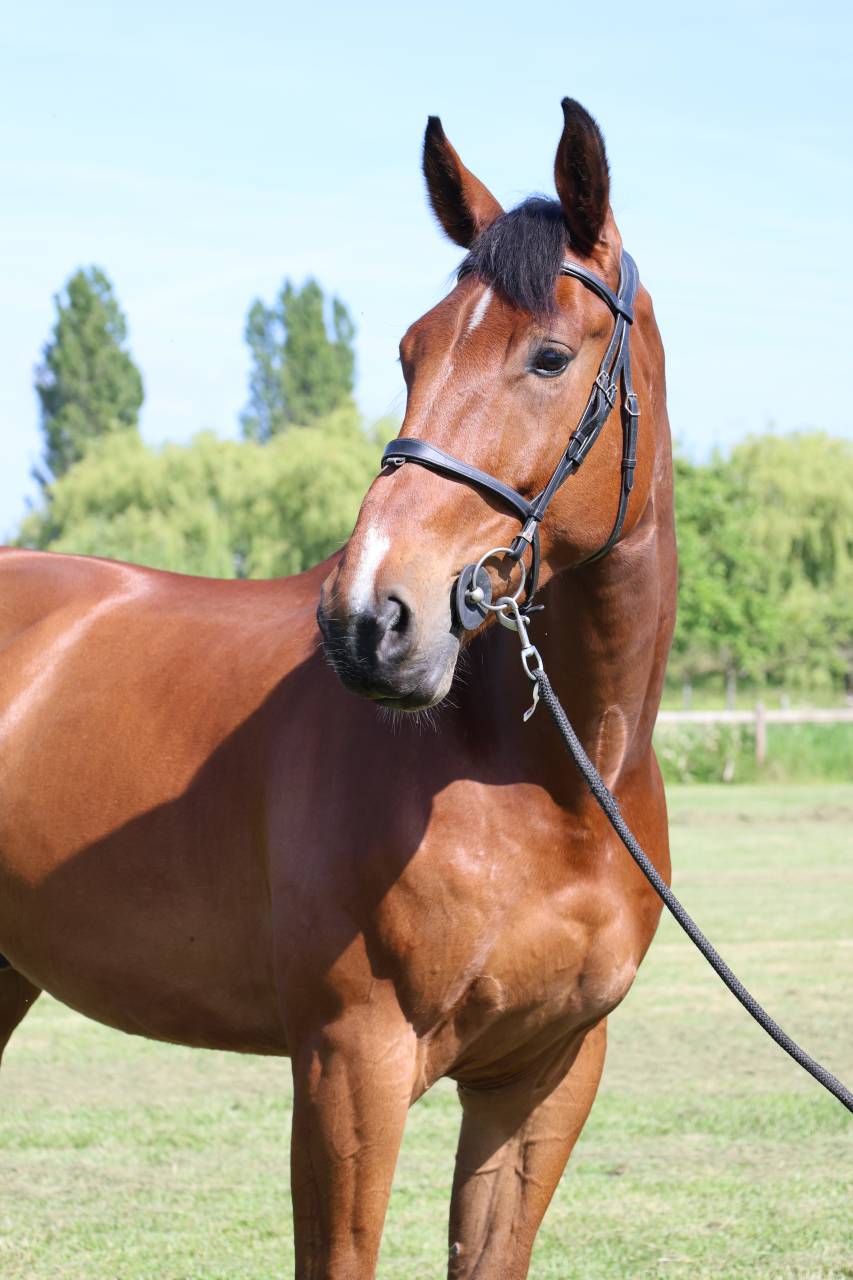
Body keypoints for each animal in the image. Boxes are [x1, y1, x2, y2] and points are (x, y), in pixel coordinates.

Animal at [0, 98, 676, 1278]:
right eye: (410, 349)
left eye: (550, 356)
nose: (367, 620)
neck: (549, 787)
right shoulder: (349, 1066)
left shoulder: (544, 1076)